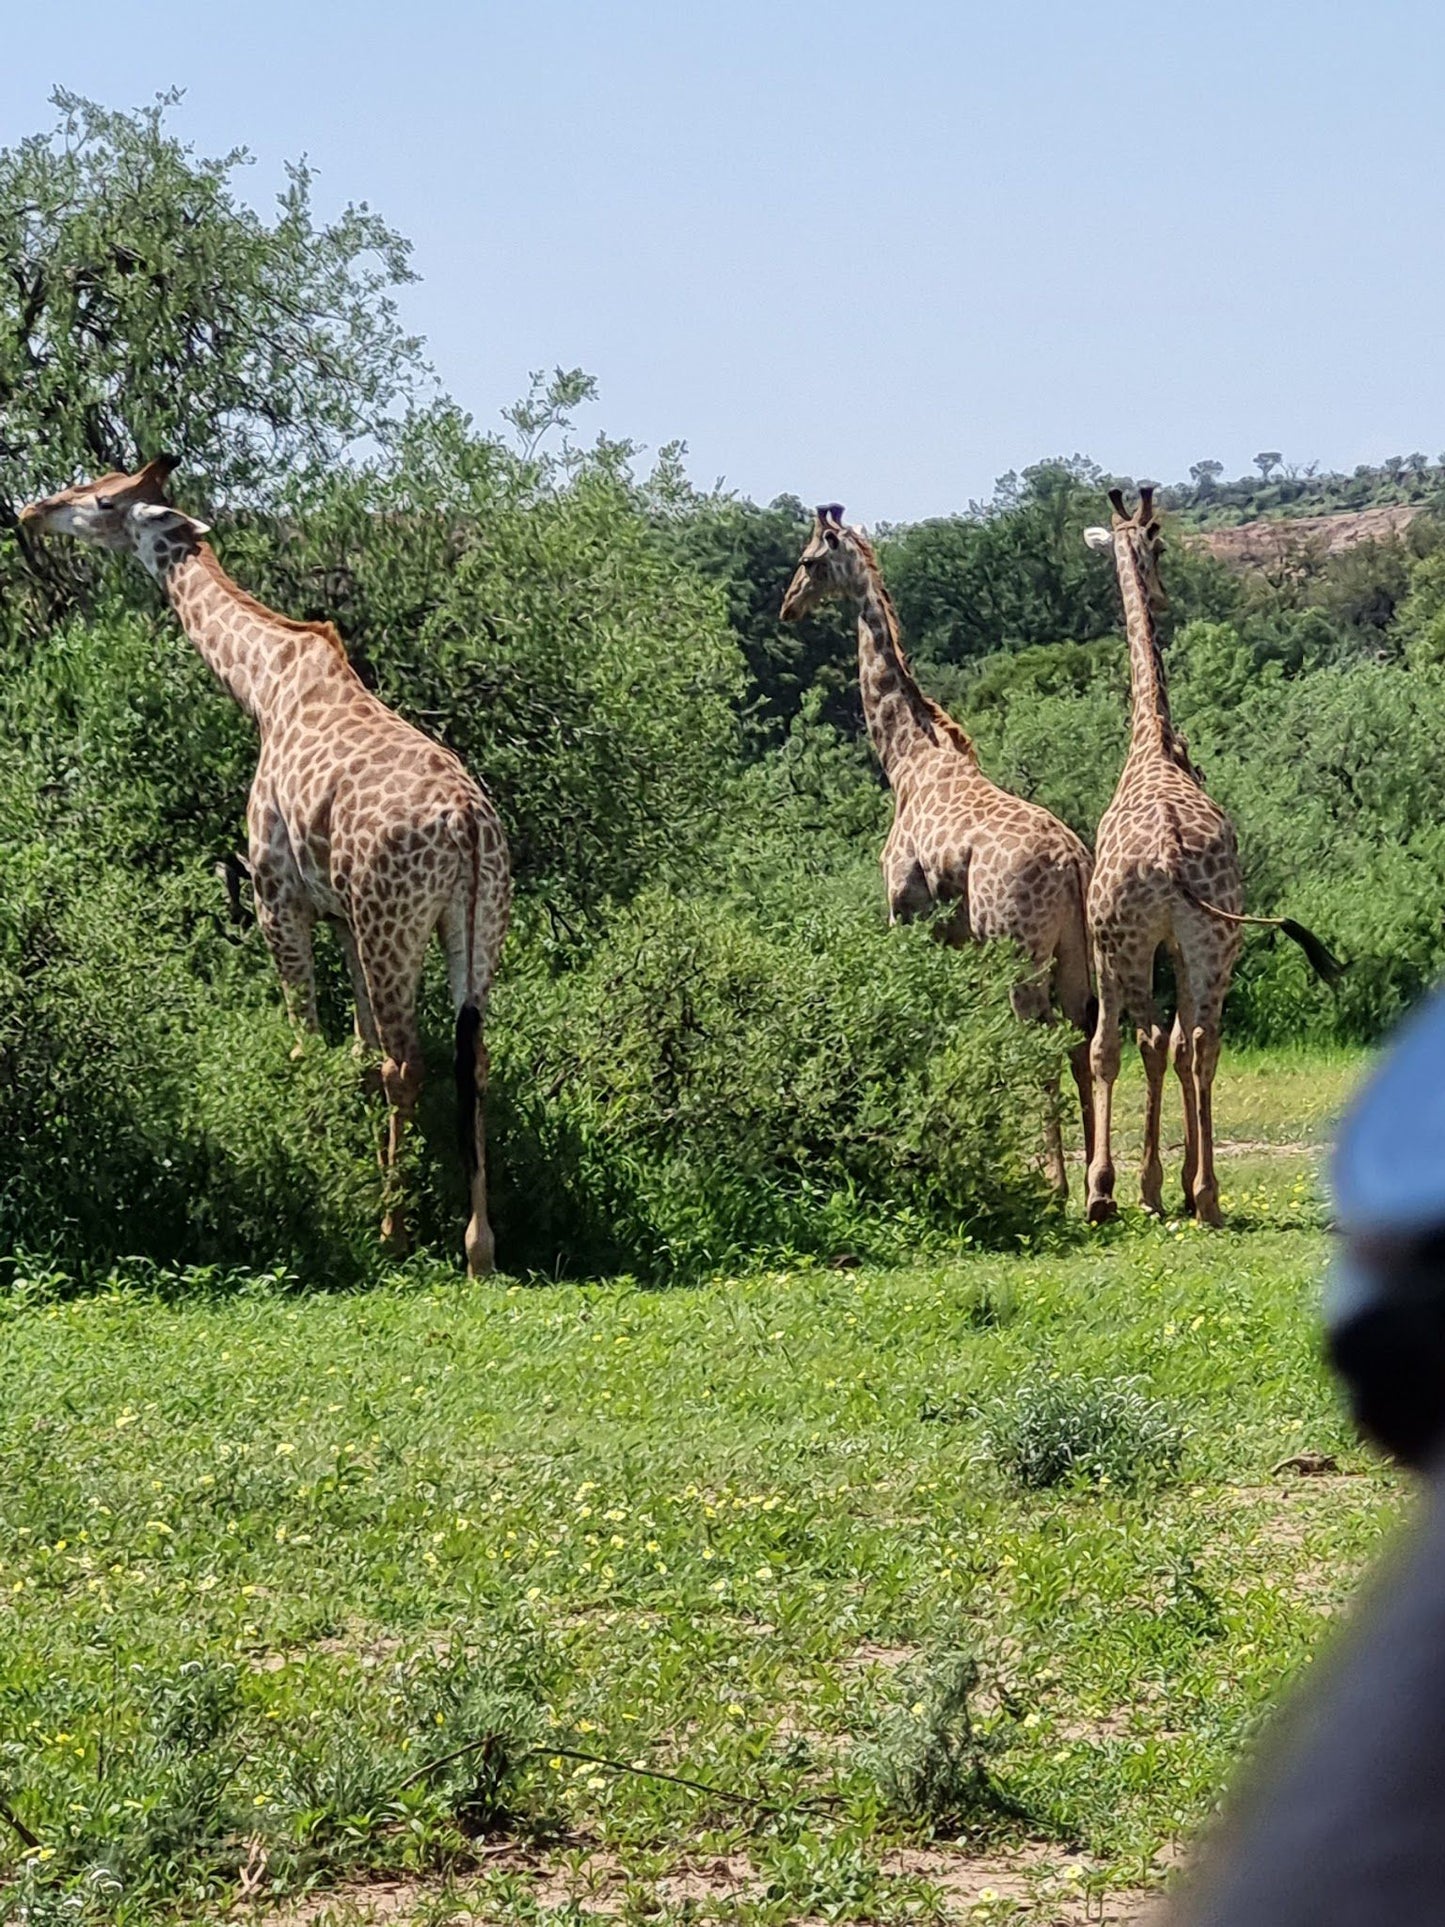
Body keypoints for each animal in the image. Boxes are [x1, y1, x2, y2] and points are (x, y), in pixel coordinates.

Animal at [19, 460, 512, 1279]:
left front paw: (309, 1180)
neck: (261, 684)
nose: (33, 509)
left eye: (104, 499)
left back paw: (394, 1233)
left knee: (409, 1062)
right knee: (469, 1058)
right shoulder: (340, 913)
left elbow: (306, 1044)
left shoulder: (277, 894)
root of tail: (469, 828)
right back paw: (479, 1248)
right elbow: (357, 1052)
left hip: (394, 920)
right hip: (473, 925)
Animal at [786, 501, 1094, 1187]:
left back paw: (1056, 1180)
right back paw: (1099, 1184)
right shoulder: (953, 936)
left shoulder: (903, 909)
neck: (904, 759)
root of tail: (1073, 863)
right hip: (1073, 948)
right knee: (1083, 1039)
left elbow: (915, 1010)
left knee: (1040, 1039)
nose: (787, 606)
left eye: (810, 562)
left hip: (1015, 945)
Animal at [1078, 489, 1340, 1225]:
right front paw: (1177, 1180)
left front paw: (1130, 1184)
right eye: (1161, 546)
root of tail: (1169, 855)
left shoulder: (1121, 940)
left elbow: (1125, 1046)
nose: (1164, 595)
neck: (1153, 742)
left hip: (1140, 941)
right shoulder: (1179, 943)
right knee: (1197, 1041)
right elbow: (1176, 1043)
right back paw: (1204, 1195)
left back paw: (1132, 1191)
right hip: (1213, 941)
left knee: (1143, 1040)